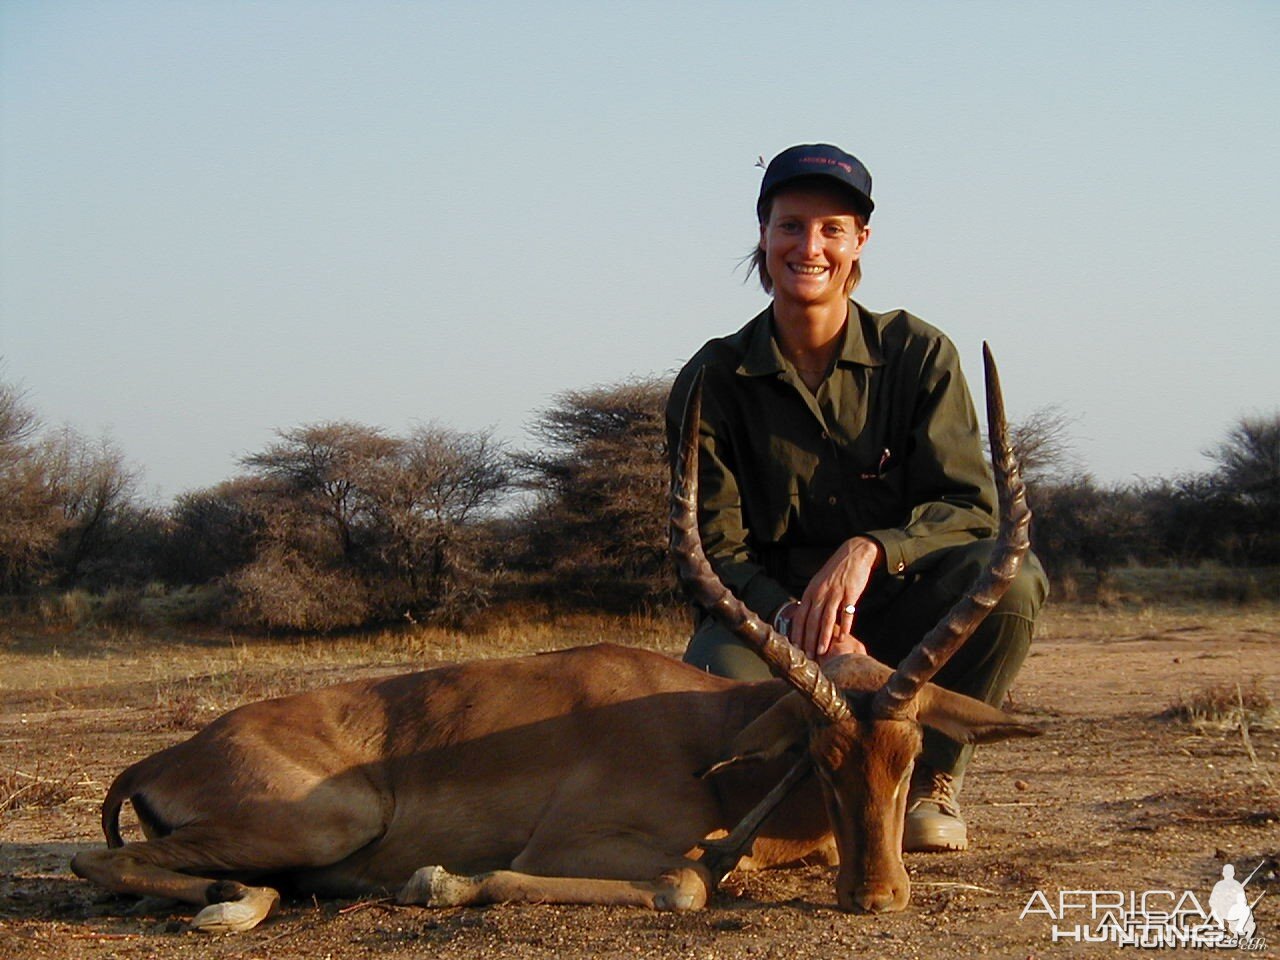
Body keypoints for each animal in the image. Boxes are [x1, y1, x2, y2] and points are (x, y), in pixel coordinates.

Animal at [70, 345, 1039, 931]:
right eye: (819, 753)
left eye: (908, 754)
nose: (876, 898)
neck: (710, 743)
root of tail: (166, 756)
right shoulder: (574, 845)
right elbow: (686, 881)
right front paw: (439, 882)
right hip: (328, 818)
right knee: (93, 857)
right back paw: (228, 902)